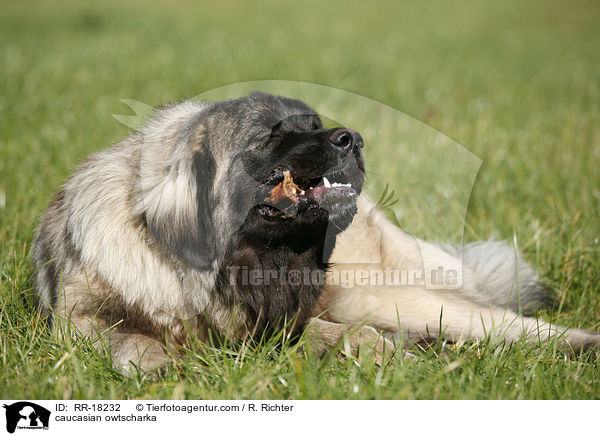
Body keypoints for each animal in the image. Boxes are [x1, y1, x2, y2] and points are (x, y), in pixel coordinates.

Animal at [34, 92, 600, 374]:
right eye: (269, 136)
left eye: (313, 125)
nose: (353, 139)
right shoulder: (74, 318)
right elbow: (119, 333)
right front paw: (153, 360)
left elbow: (338, 333)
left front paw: (382, 356)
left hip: (385, 295)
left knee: (514, 327)